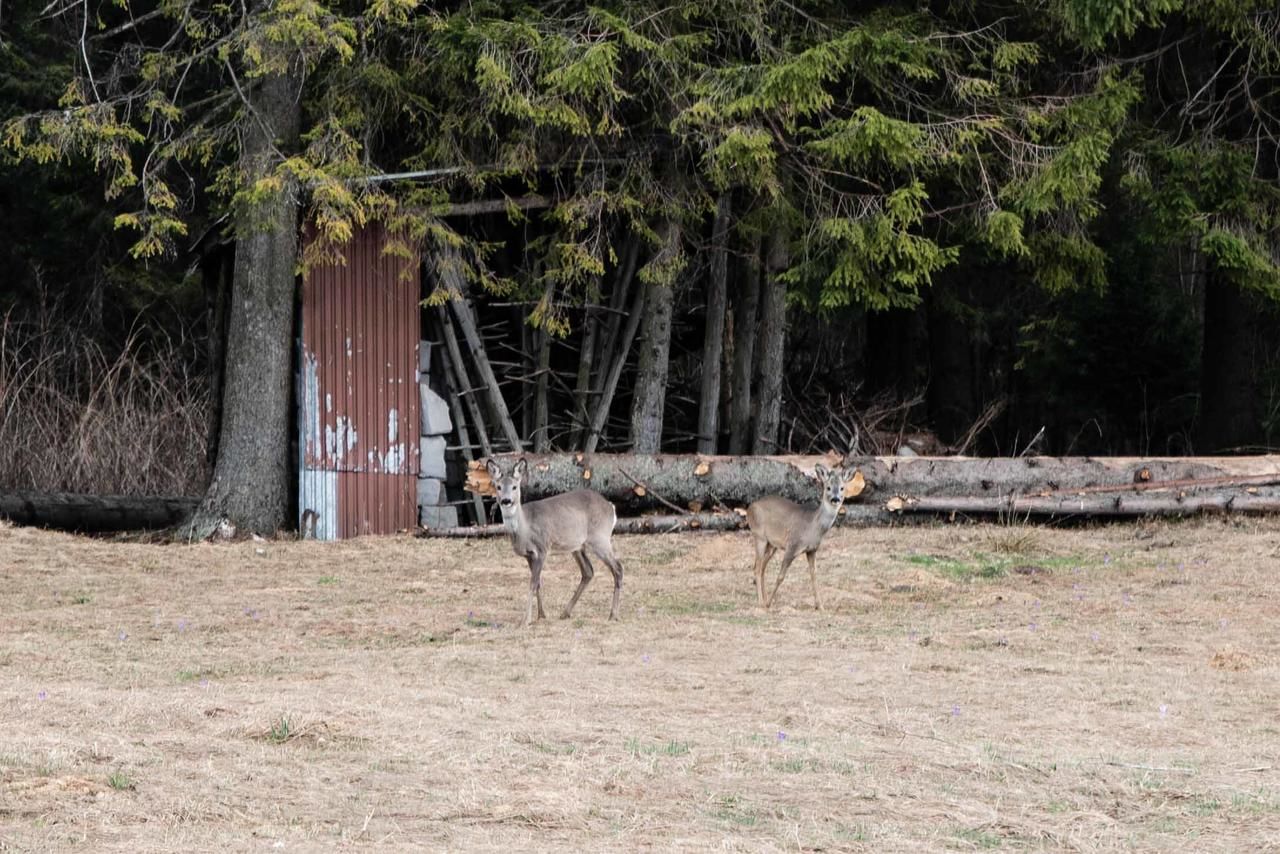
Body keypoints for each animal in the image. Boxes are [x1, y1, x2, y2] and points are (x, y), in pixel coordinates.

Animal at [483, 460, 624, 627]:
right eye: (498, 487)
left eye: (514, 487)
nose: (506, 500)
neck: (525, 529)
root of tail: (611, 507)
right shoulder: (529, 555)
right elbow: (538, 582)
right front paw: (541, 615)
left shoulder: (542, 548)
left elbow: (532, 583)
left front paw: (525, 620)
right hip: (578, 546)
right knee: (588, 571)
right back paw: (565, 613)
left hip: (600, 538)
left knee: (618, 568)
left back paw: (613, 614)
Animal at [747, 463, 855, 612]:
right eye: (828, 487)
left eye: (842, 488)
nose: (835, 499)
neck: (813, 527)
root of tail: (749, 508)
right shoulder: (792, 545)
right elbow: (781, 576)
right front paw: (769, 604)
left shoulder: (812, 550)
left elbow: (814, 575)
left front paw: (820, 606)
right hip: (759, 536)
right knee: (757, 568)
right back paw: (761, 602)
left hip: (772, 544)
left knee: (762, 568)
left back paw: (763, 599)